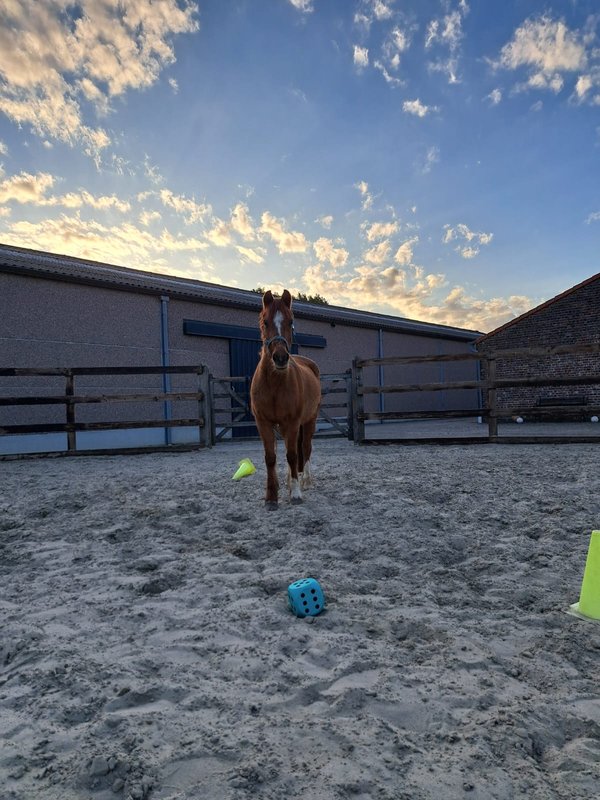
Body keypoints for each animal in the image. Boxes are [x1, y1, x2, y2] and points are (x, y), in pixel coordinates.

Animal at [250, 289, 321, 507]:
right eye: (265, 322)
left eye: (291, 322)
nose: (280, 358)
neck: (274, 384)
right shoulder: (263, 423)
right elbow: (271, 457)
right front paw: (271, 497)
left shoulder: (292, 422)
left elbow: (292, 455)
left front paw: (296, 494)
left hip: (309, 421)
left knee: (305, 448)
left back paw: (305, 481)